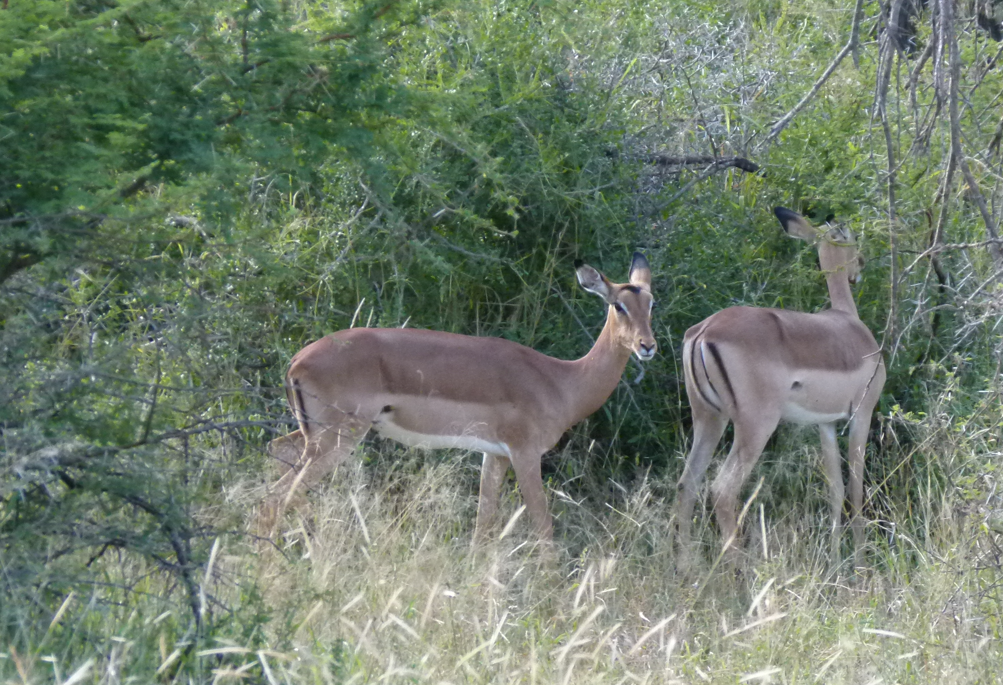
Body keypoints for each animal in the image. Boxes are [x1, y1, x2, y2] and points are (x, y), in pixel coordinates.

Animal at [261, 254, 656, 543]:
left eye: (651, 303)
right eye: (618, 305)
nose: (647, 346)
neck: (560, 381)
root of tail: (297, 360)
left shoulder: (494, 455)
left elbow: (483, 527)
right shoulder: (525, 454)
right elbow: (543, 526)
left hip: (315, 435)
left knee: (278, 453)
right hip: (339, 438)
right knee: (278, 495)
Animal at [674, 207, 885, 569]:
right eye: (851, 237)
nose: (860, 265)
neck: (847, 323)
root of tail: (703, 332)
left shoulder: (826, 423)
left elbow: (835, 489)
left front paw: (835, 563)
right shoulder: (862, 414)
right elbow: (856, 491)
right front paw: (860, 566)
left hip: (708, 418)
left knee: (687, 483)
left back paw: (687, 567)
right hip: (755, 427)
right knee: (722, 490)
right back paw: (740, 571)